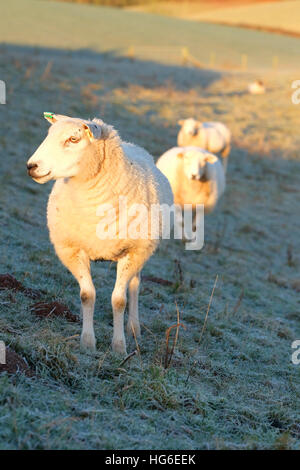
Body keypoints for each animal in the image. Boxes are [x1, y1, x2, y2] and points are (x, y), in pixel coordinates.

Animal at [28, 114, 175, 356]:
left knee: (134, 286)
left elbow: (119, 300)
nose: (32, 166)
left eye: (73, 138)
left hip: (142, 251)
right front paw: (87, 342)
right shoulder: (72, 249)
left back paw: (133, 327)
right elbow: (87, 295)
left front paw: (119, 346)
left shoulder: (132, 251)